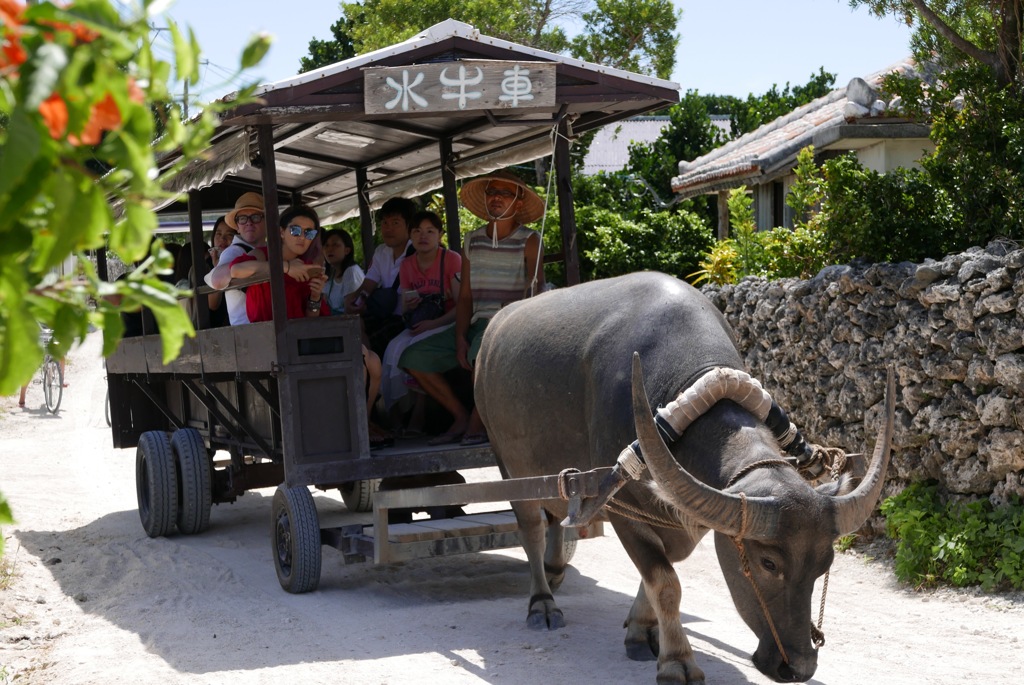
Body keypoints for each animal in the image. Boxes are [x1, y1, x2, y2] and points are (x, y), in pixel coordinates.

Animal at [475, 270, 892, 679]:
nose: (800, 667)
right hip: (506, 462)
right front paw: (677, 660)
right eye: (768, 563)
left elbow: (663, 569)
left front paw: (641, 630)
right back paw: (542, 602)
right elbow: (664, 581)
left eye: (825, 566)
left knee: (556, 518)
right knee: (531, 527)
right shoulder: (622, 507)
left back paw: (555, 569)